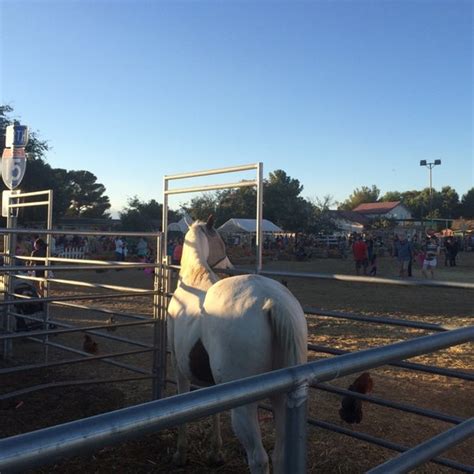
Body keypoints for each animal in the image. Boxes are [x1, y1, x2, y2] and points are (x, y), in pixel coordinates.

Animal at [167, 217, 308, 472]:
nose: (230, 264)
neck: (194, 278)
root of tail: (273, 301)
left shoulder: (178, 366)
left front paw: (180, 454)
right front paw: (215, 452)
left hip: (245, 407)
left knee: (259, 458)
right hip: (282, 396)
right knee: (280, 455)